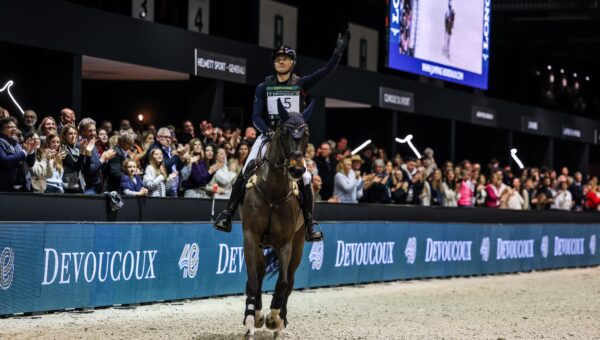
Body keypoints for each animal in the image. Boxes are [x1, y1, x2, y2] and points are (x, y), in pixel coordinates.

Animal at [239, 99, 314, 340]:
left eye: (306, 134)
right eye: (284, 132)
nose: (297, 169)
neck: (272, 191)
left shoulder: (285, 243)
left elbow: (282, 283)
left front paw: (274, 319)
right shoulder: (250, 236)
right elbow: (252, 280)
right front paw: (252, 319)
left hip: (299, 244)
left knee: (289, 281)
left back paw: (281, 321)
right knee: (260, 271)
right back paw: (256, 314)